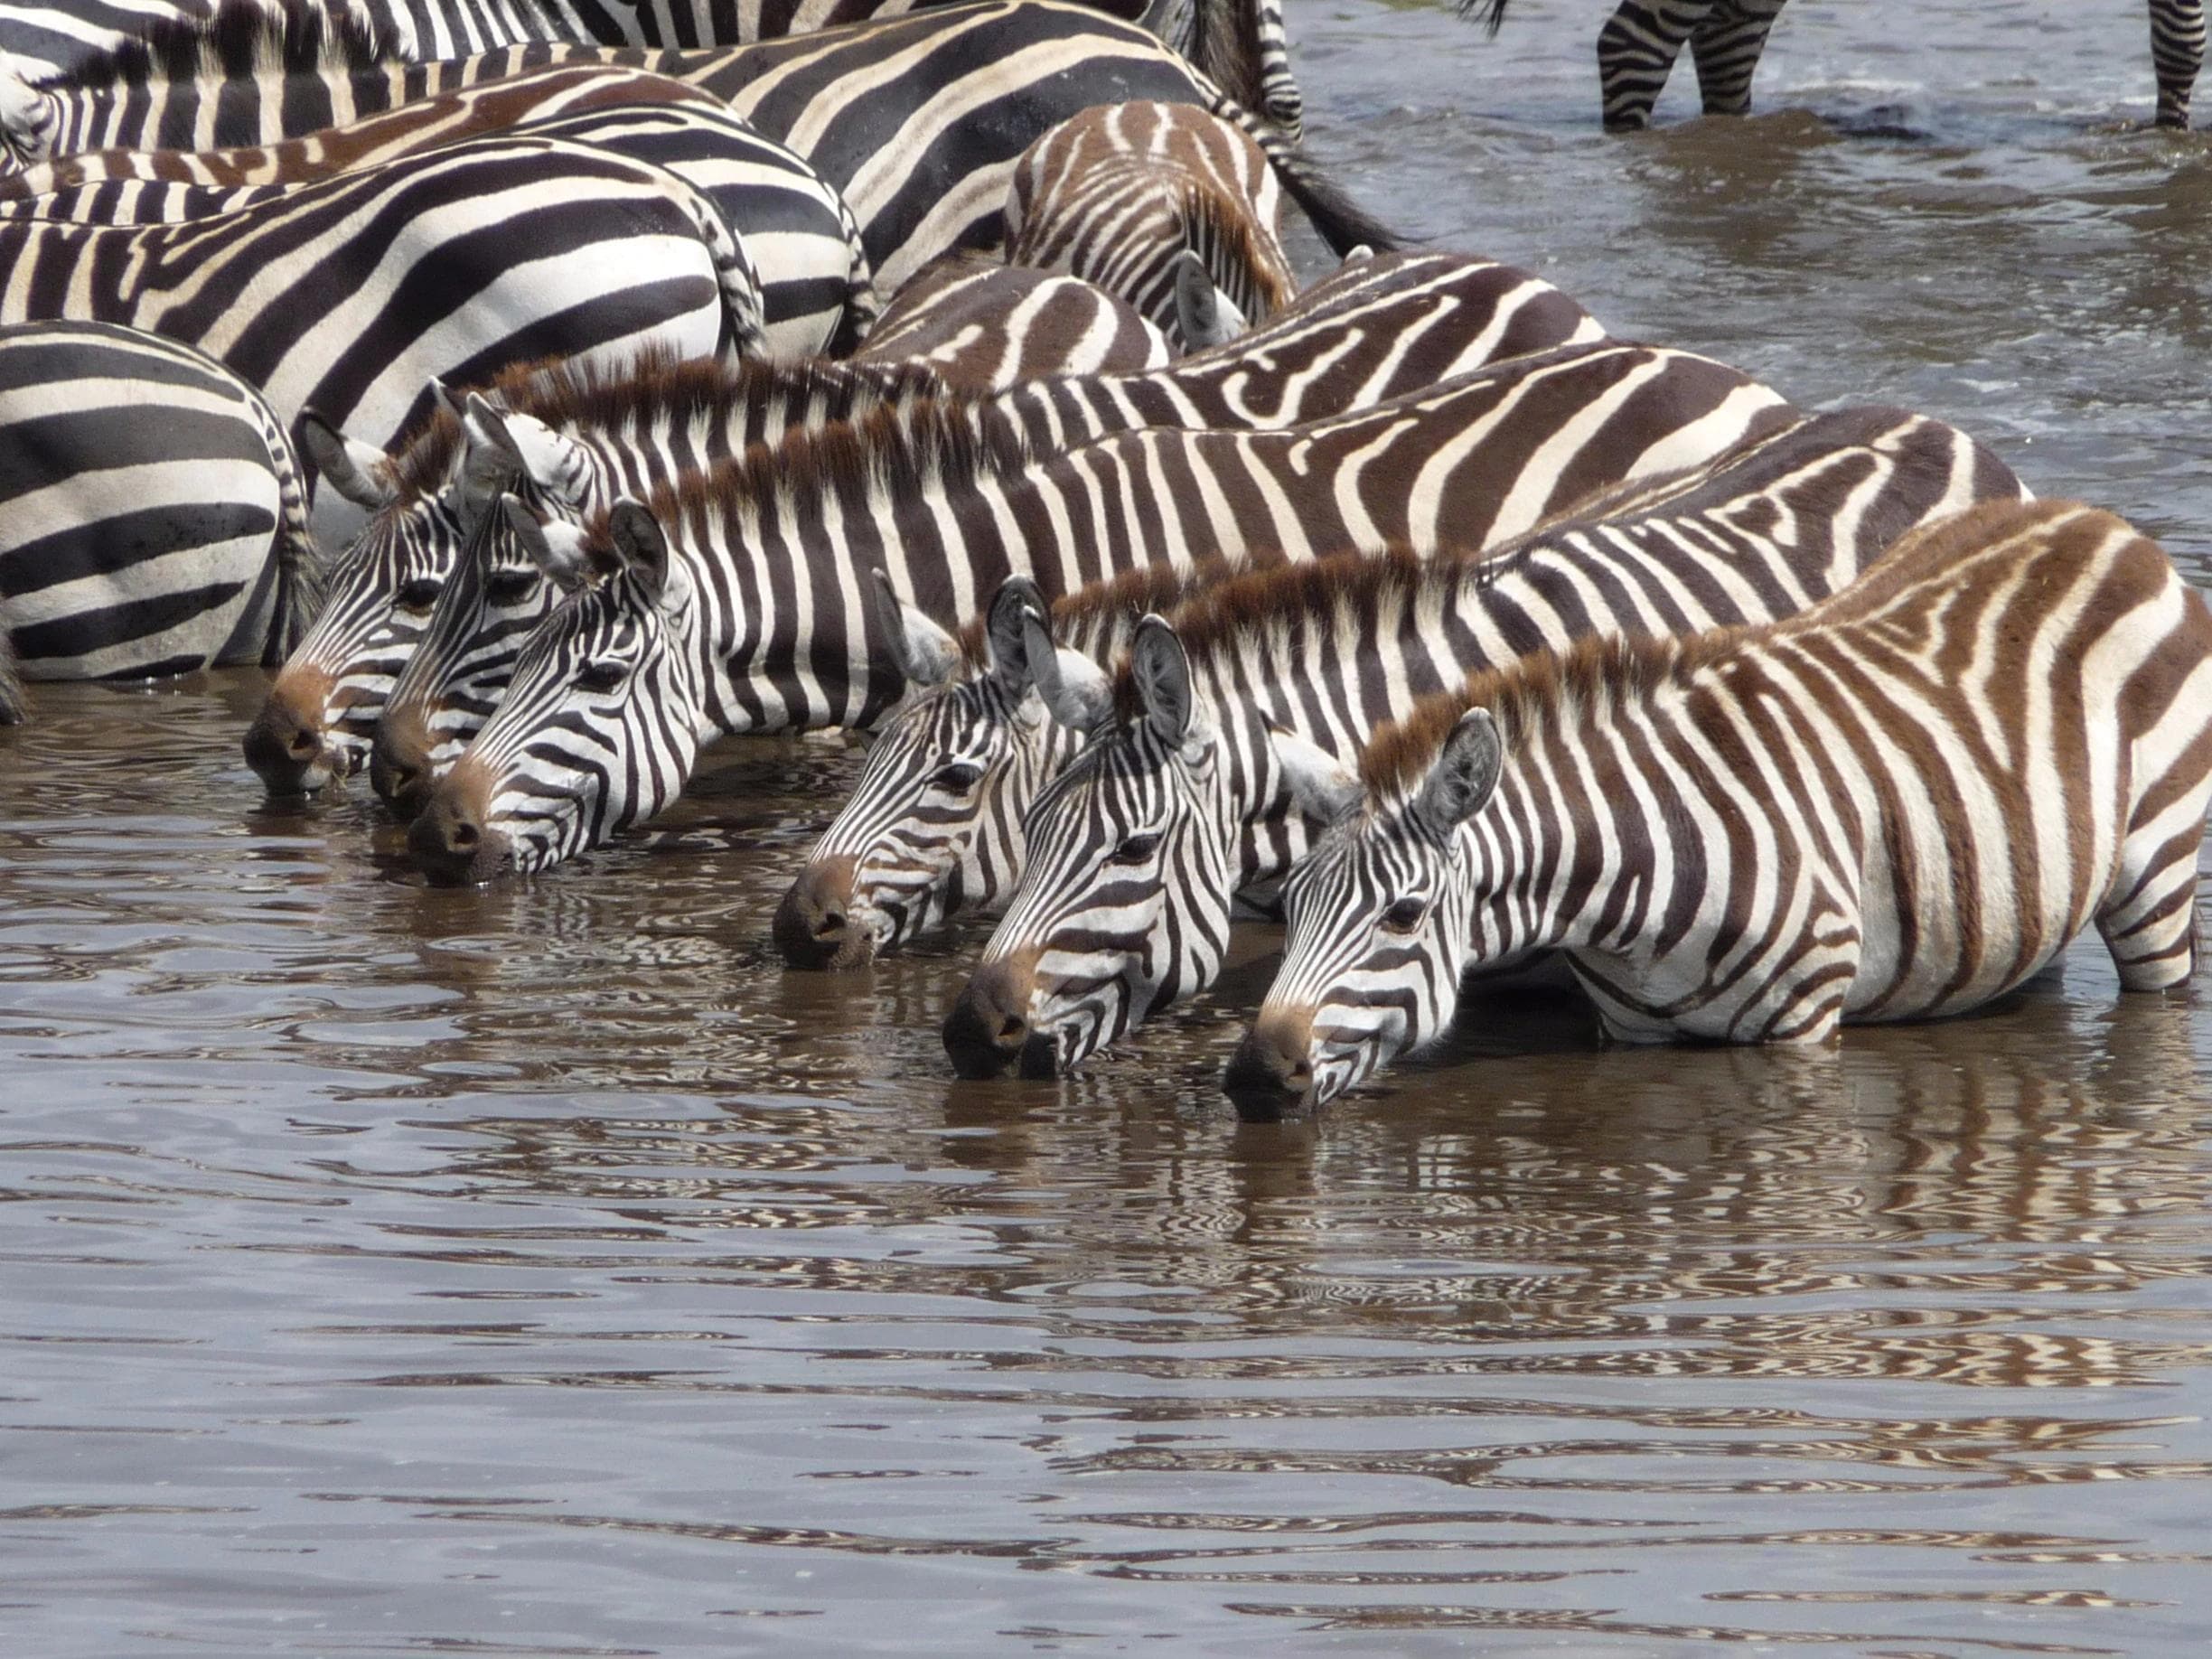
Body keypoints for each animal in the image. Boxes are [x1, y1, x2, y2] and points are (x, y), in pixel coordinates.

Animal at [1226, 498, 2212, 1116]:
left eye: (1403, 914)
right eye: (1289, 906)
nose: (1253, 1077)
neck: (1637, 871)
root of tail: (2105, 525)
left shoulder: (1803, 1028)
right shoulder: (1631, 1036)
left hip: (2157, 871)